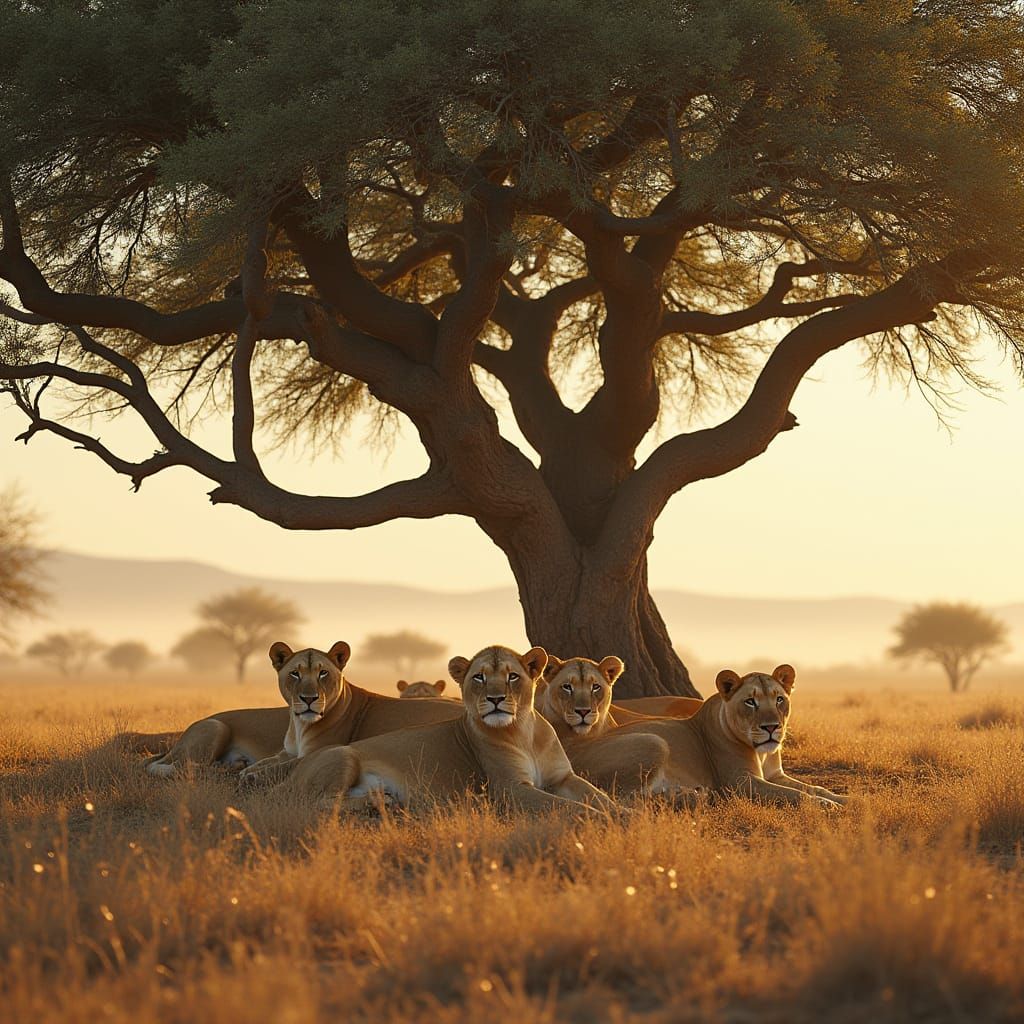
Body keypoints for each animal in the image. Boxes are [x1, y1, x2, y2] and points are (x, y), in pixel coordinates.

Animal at [145, 641, 461, 778]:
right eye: (295, 674)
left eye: (323, 673)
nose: (308, 698)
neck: (299, 726)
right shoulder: (287, 751)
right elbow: (265, 762)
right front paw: (245, 767)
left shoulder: (312, 753)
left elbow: (272, 768)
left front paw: (246, 773)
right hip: (215, 726)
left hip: (214, 726)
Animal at [282, 645, 616, 818]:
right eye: (479, 678)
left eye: (512, 677)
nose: (496, 699)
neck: (524, 732)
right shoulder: (510, 790)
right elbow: (569, 808)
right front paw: (604, 821)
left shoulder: (563, 777)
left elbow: (599, 797)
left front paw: (624, 814)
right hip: (344, 754)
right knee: (315, 804)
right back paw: (382, 802)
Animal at [540, 658, 844, 807]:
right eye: (750, 702)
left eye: (779, 699)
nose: (771, 728)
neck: (762, 753)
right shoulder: (741, 783)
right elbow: (795, 795)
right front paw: (826, 806)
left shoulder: (775, 775)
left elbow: (811, 786)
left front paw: (845, 799)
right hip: (653, 740)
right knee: (625, 798)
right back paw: (685, 797)